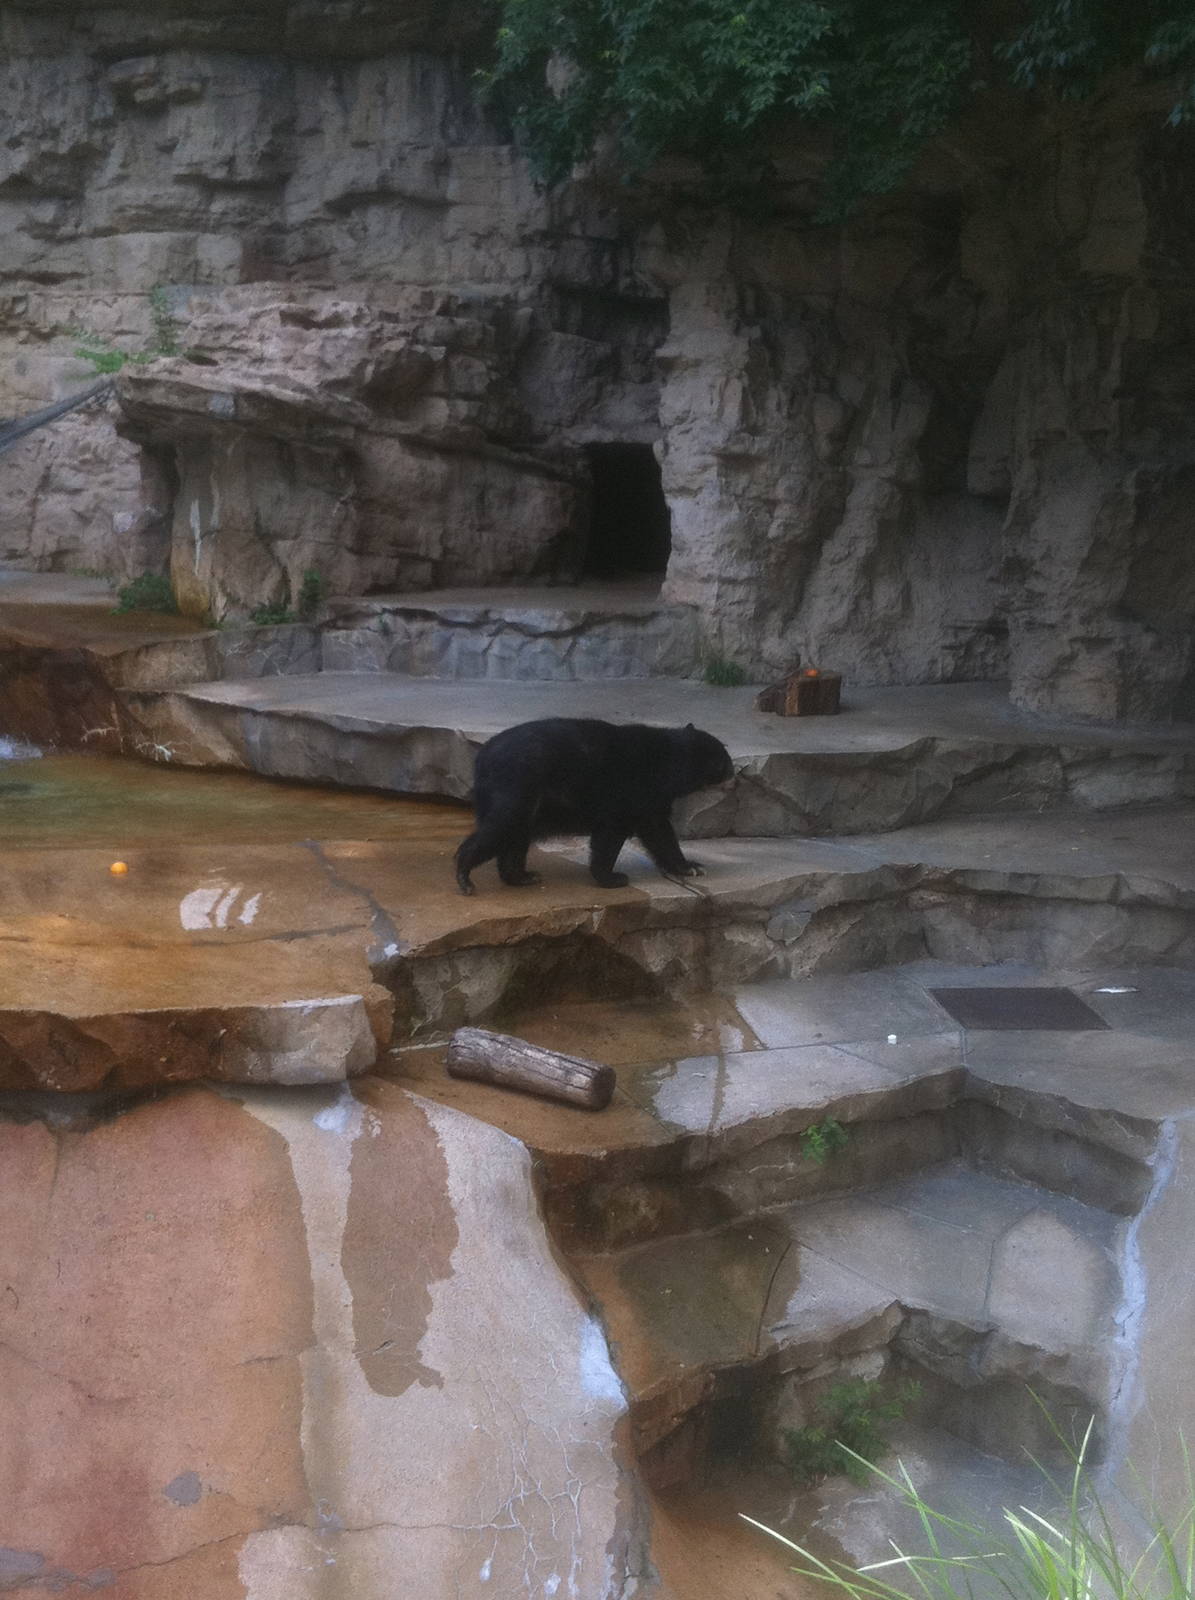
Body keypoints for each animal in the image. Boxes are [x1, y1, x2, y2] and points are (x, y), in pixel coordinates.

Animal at [454, 717, 735, 895]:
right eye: (725, 762)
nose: (735, 777)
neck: (667, 764)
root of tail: (481, 758)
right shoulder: (631, 787)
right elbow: (612, 832)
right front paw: (613, 878)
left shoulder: (652, 799)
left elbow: (658, 830)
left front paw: (691, 867)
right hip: (518, 783)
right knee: (502, 825)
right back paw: (465, 876)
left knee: (516, 835)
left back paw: (522, 876)